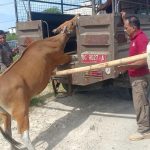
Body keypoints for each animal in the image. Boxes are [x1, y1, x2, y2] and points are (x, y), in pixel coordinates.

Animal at [0, 14, 78, 150]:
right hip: (20, 110)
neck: (52, 42)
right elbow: (69, 56)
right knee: (23, 134)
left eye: (67, 21)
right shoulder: (60, 57)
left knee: (8, 133)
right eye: (71, 23)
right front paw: (76, 56)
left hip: (5, 114)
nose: (76, 16)